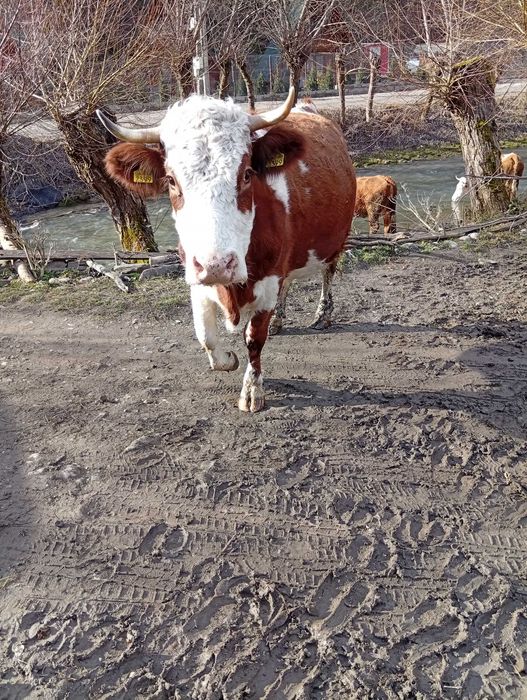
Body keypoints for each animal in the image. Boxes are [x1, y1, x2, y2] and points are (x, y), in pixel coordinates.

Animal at [97, 88, 356, 412]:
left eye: (246, 174)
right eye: (171, 180)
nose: (218, 265)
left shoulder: (268, 280)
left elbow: (254, 339)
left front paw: (252, 391)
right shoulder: (196, 278)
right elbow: (205, 335)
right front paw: (227, 360)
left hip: (336, 239)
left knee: (328, 274)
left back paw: (323, 315)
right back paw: (280, 320)